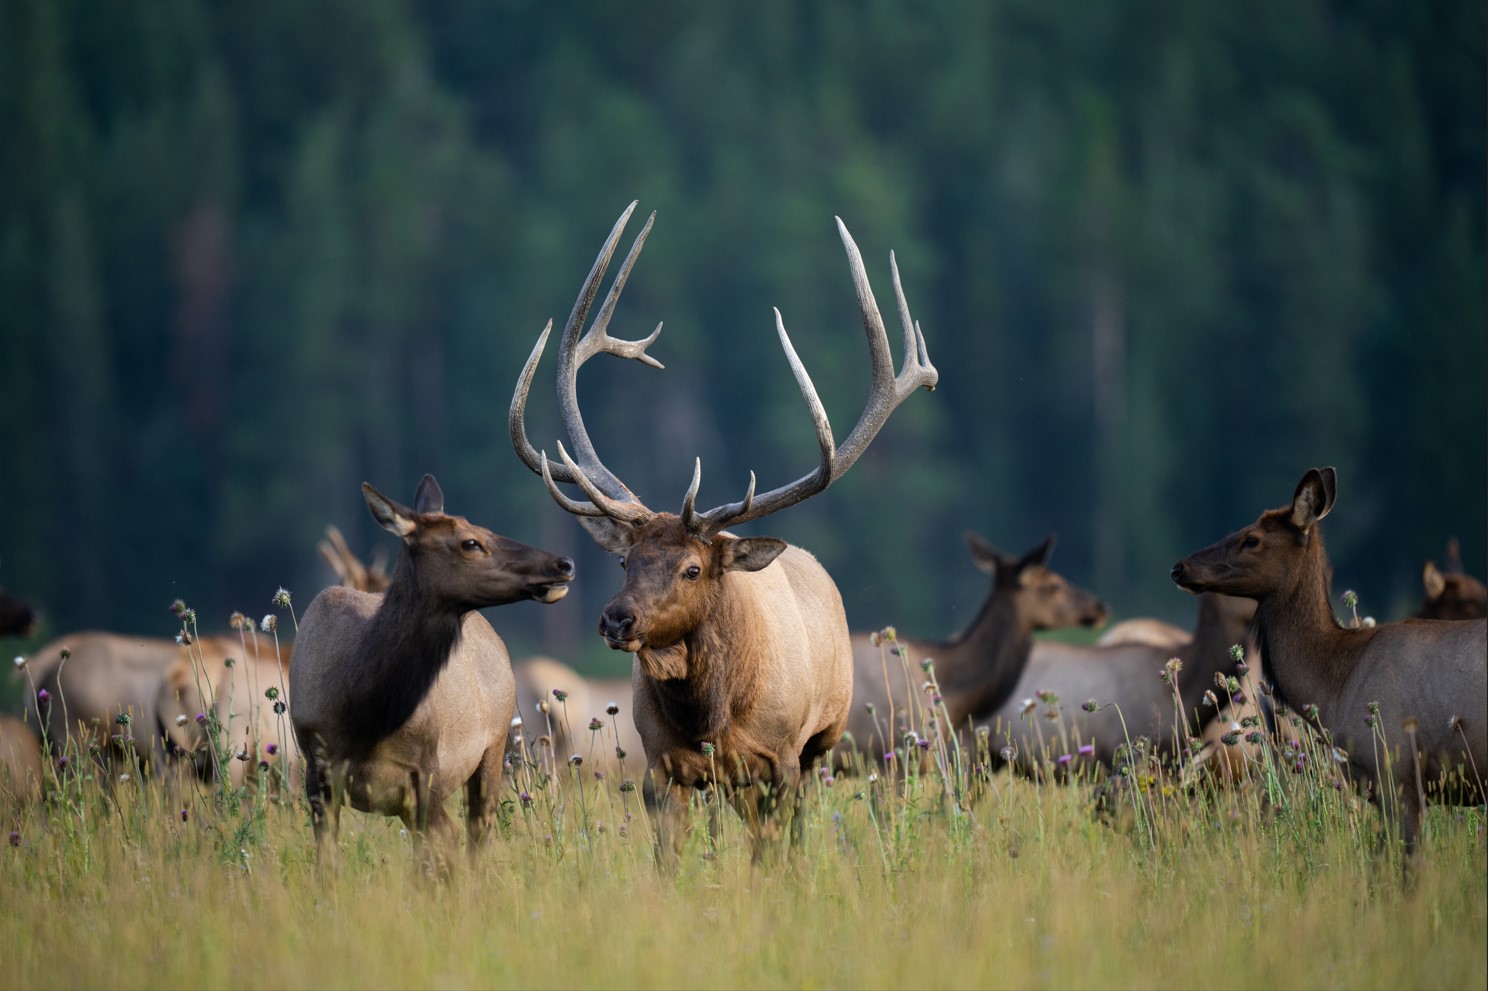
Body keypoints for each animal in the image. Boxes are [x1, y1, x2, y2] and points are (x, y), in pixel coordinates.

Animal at [288, 470, 574, 863]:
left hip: (495, 745)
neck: (364, 715)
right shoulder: (318, 774)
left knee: (476, 835)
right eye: (471, 542)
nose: (563, 563)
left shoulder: (425, 773)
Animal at [505, 200, 934, 857]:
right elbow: (673, 856)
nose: (616, 619)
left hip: (823, 740)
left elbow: (772, 853)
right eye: (625, 561)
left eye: (692, 567)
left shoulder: (782, 759)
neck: (712, 716)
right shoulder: (661, 768)